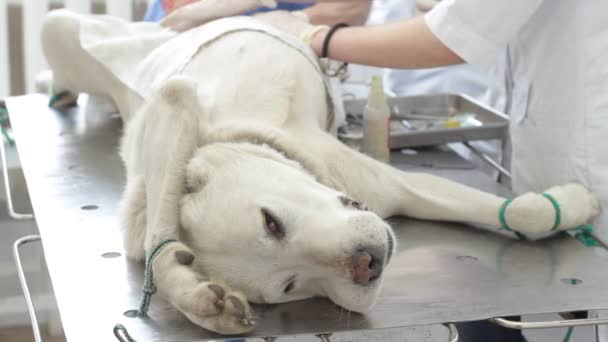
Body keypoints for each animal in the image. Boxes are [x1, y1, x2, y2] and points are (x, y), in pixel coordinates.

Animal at [40, 1, 600, 336]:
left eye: (270, 221)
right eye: (290, 286)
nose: (367, 264)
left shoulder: (175, 103)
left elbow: (519, 211)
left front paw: (571, 204)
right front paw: (195, 294)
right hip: (61, 33)